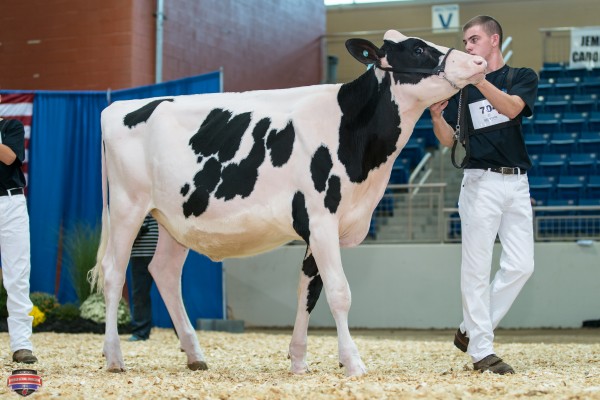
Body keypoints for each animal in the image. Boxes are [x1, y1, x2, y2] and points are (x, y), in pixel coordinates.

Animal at [91, 29, 486, 376]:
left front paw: (298, 360)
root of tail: (119, 106)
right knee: (113, 272)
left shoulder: (323, 227)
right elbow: (339, 292)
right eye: (418, 49)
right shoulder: (321, 218)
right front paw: (353, 363)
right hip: (128, 206)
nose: (478, 60)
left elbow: (308, 291)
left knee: (165, 272)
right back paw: (114, 357)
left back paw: (195, 355)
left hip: (175, 217)